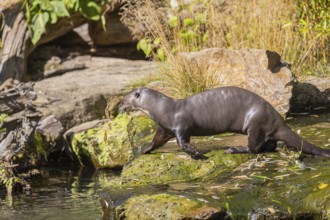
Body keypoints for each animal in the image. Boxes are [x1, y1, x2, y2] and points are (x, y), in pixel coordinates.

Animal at [120, 86, 330, 158]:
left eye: (123, 99)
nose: (119, 107)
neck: (164, 110)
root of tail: (279, 119)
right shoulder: (165, 129)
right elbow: (156, 140)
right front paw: (144, 150)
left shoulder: (180, 126)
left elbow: (182, 142)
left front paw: (195, 151)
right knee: (269, 144)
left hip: (255, 122)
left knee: (254, 147)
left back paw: (234, 149)